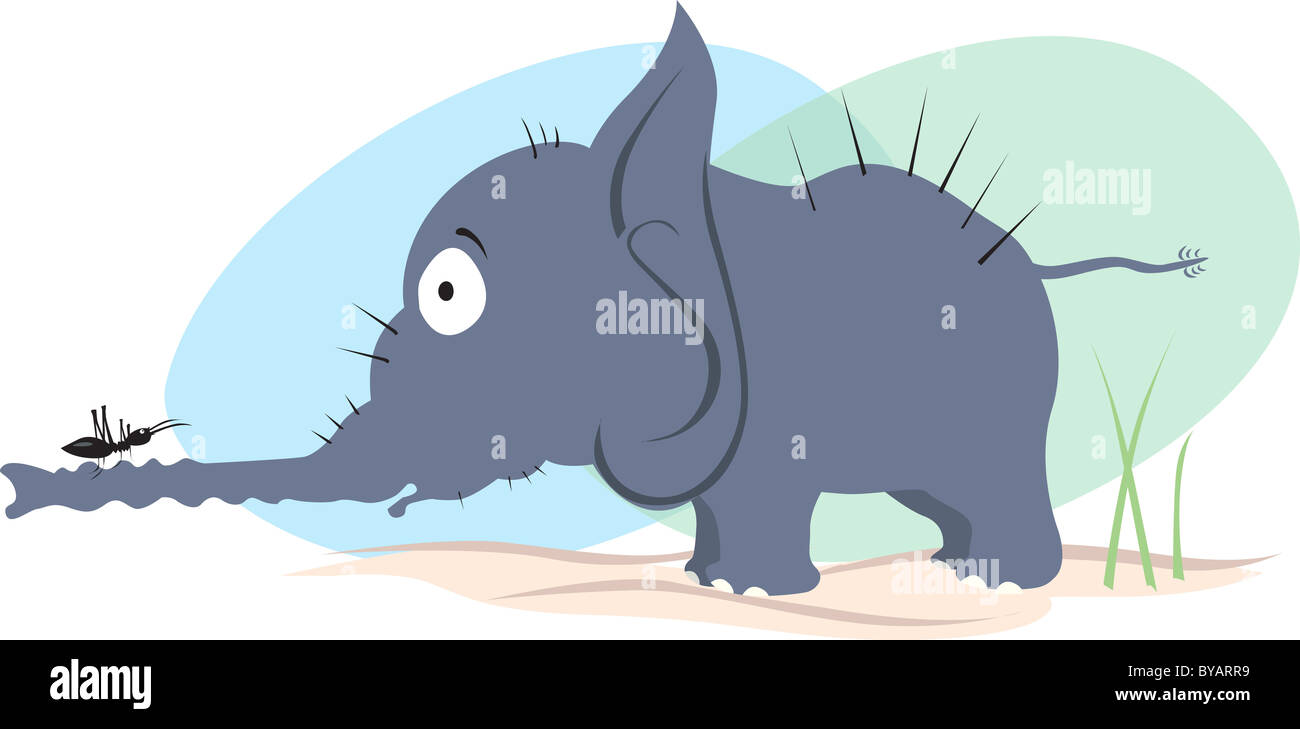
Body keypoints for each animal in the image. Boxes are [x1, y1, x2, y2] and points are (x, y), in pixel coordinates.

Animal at [3, 4, 1207, 596]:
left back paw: (999, 582)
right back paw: (960, 569)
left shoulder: (763, 402)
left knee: (995, 476)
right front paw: (708, 581)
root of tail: (1040, 266)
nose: (19, 489)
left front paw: (751, 598)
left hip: (1008, 402)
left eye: (451, 292)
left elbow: (764, 488)